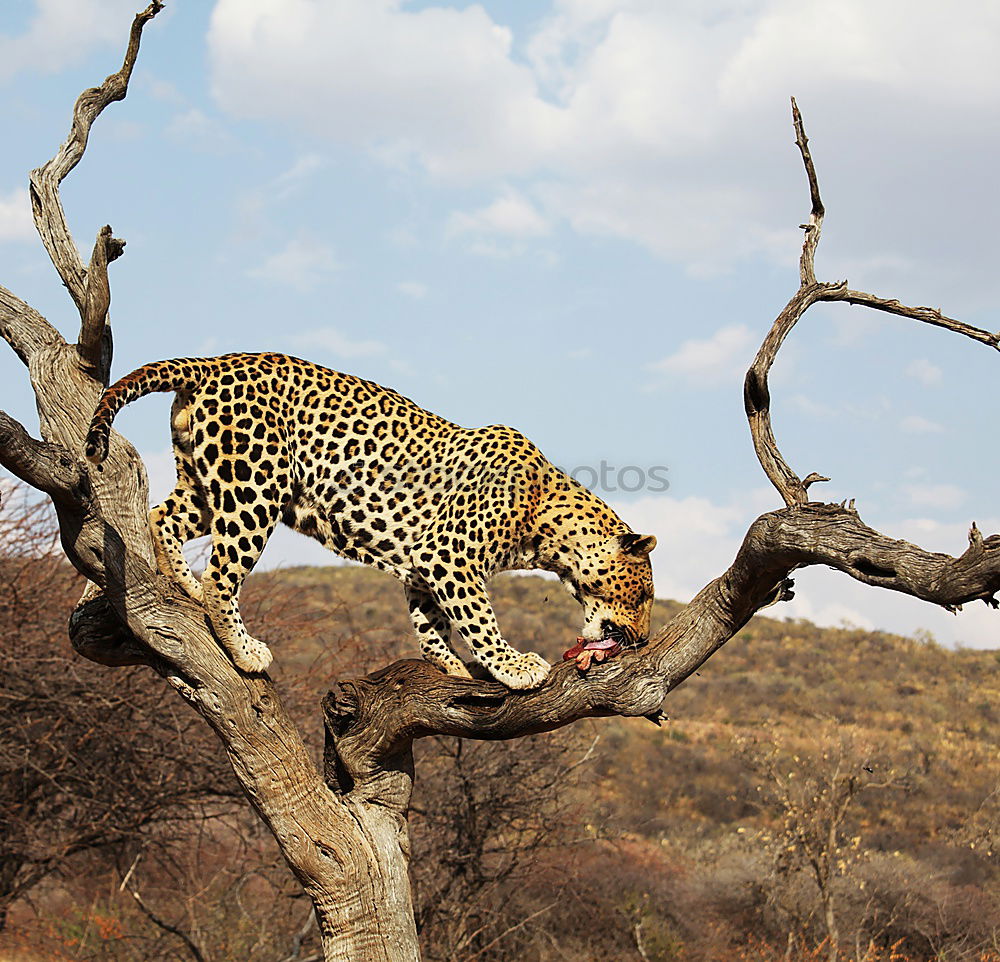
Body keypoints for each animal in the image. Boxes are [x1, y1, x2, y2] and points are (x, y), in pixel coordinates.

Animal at [84, 352, 656, 688]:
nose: (644, 639)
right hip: (255, 488)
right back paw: (242, 649)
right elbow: (480, 619)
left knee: (160, 518)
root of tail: (215, 361)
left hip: (209, 484)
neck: (549, 525)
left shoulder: (424, 566)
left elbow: (431, 626)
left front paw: (451, 666)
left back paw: (177, 584)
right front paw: (514, 666)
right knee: (222, 576)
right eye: (645, 596)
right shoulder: (451, 555)